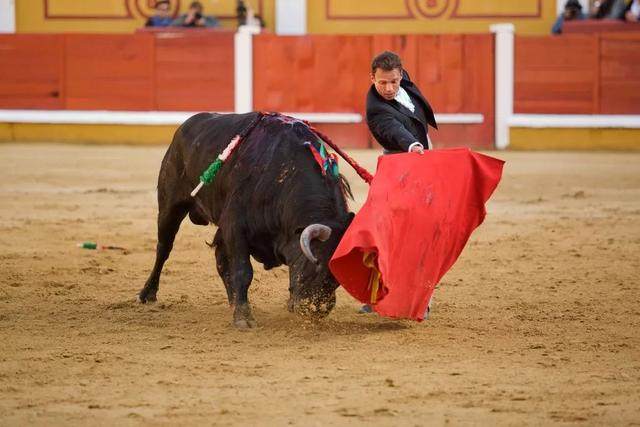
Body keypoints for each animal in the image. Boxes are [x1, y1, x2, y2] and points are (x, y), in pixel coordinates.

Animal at [138, 112, 356, 330]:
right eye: (316, 263)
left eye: (338, 276)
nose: (316, 311)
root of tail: (187, 124)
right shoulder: (235, 227)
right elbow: (244, 271)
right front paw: (244, 318)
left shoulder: (231, 228)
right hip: (170, 205)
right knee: (164, 249)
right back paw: (148, 294)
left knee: (220, 258)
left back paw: (233, 301)